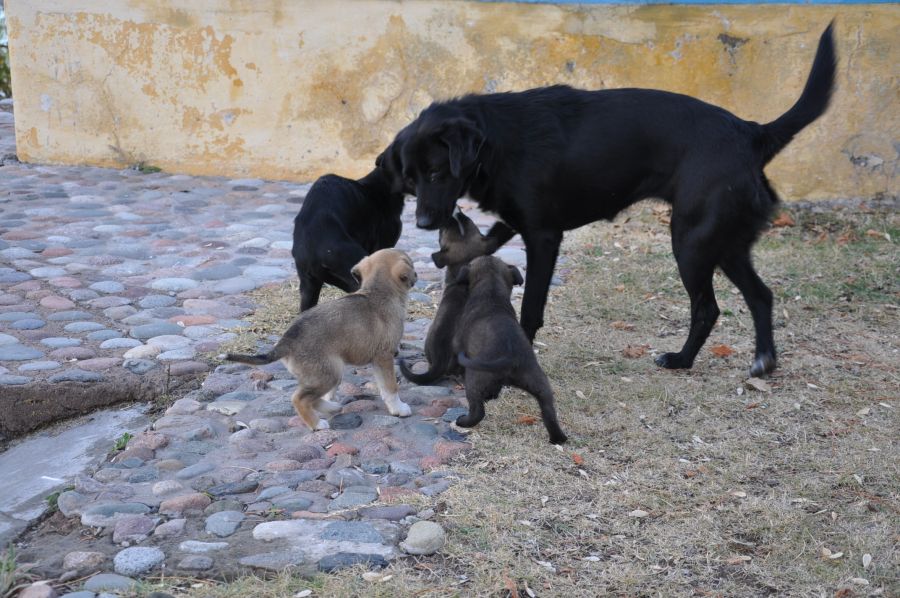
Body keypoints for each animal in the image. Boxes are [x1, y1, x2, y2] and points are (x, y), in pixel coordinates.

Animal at [225, 248, 422, 432]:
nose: (417, 275)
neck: (377, 290)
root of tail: (285, 342)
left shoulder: (378, 360)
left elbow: (383, 387)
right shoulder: (384, 357)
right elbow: (390, 387)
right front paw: (399, 408)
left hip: (330, 372)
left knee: (314, 397)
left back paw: (332, 407)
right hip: (328, 374)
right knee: (299, 398)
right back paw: (317, 424)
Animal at [394, 27, 836, 380]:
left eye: (436, 173)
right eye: (411, 179)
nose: (423, 224)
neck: (497, 142)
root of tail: (750, 132)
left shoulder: (543, 237)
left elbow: (531, 307)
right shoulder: (513, 224)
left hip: (692, 243)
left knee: (707, 308)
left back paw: (682, 360)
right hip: (725, 244)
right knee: (760, 295)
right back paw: (759, 360)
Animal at [454, 256, 568, 446]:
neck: (491, 291)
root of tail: (510, 356)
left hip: (474, 379)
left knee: (478, 410)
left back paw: (463, 421)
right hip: (539, 383)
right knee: (549, 412)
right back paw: (558, 438)